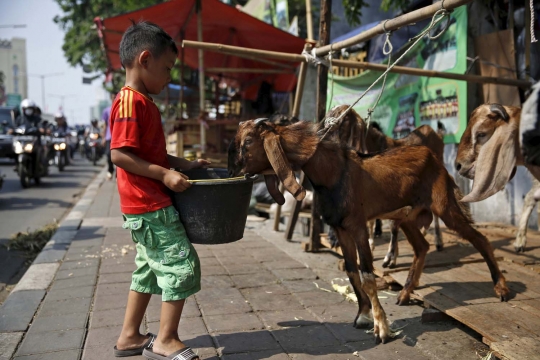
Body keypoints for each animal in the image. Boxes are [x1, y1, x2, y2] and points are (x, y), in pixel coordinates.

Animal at [324, 104, 442, 268]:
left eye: (343, 119)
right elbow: (371, 222)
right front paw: (371, 250)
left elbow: (393, 224)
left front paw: (390, 258)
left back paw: (438, 241)